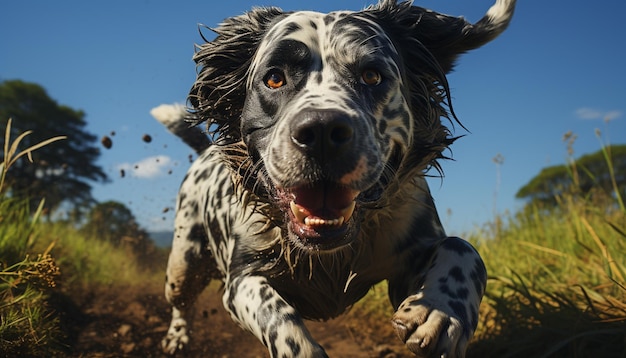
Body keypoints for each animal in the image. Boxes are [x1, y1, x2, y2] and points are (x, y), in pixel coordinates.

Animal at [158, 0, 516, 356]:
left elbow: (462, 248)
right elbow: (276, 313)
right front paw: (299, 347)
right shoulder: (243, 278)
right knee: (180, 301)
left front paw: (439, 311)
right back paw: (177, 336)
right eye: (274, 79)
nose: (321, 131)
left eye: (372, 75)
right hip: (183, 265)